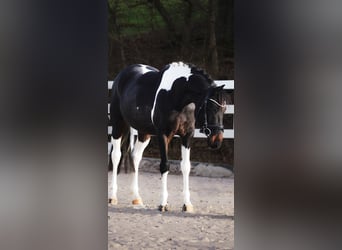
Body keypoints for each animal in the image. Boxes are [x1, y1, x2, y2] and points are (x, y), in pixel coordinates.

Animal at [109, 61, 227, 212]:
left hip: (144, 133)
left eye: (224, 109)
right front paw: (163, 203)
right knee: (116, 156)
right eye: (211, 108)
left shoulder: (187, 135)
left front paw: (187, 204)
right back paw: (113, 197)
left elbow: (186, 167)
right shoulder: (163, 135)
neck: (176, 95)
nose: (216, 141)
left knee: (135, 156)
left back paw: (136, 198)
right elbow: (165, 165)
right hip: (118, 124)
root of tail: (123, 74)